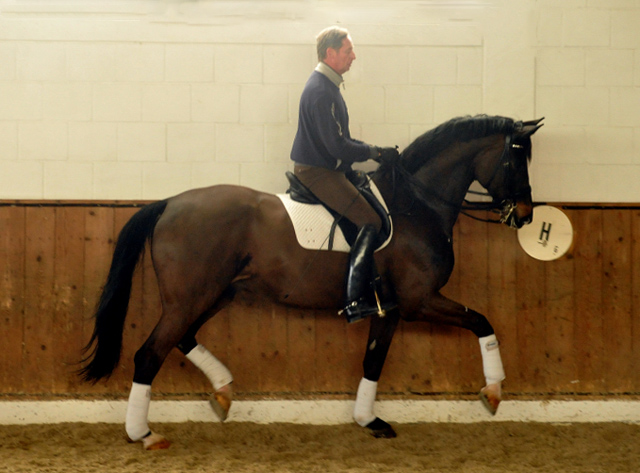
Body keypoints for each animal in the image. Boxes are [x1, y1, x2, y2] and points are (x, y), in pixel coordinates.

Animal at [79, 115, 540, 450]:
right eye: (515, 160)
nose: (525, 214)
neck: (417, 204)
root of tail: (170, 202)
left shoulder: (389, 308)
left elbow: (373, 361)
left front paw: (368, 419)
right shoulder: (419, 300)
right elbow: (482, 321)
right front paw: (494, 391)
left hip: (216, 293)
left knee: (183, 338)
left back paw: (223, 391)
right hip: (189, 298)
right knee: (149, 354)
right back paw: (143, 433)